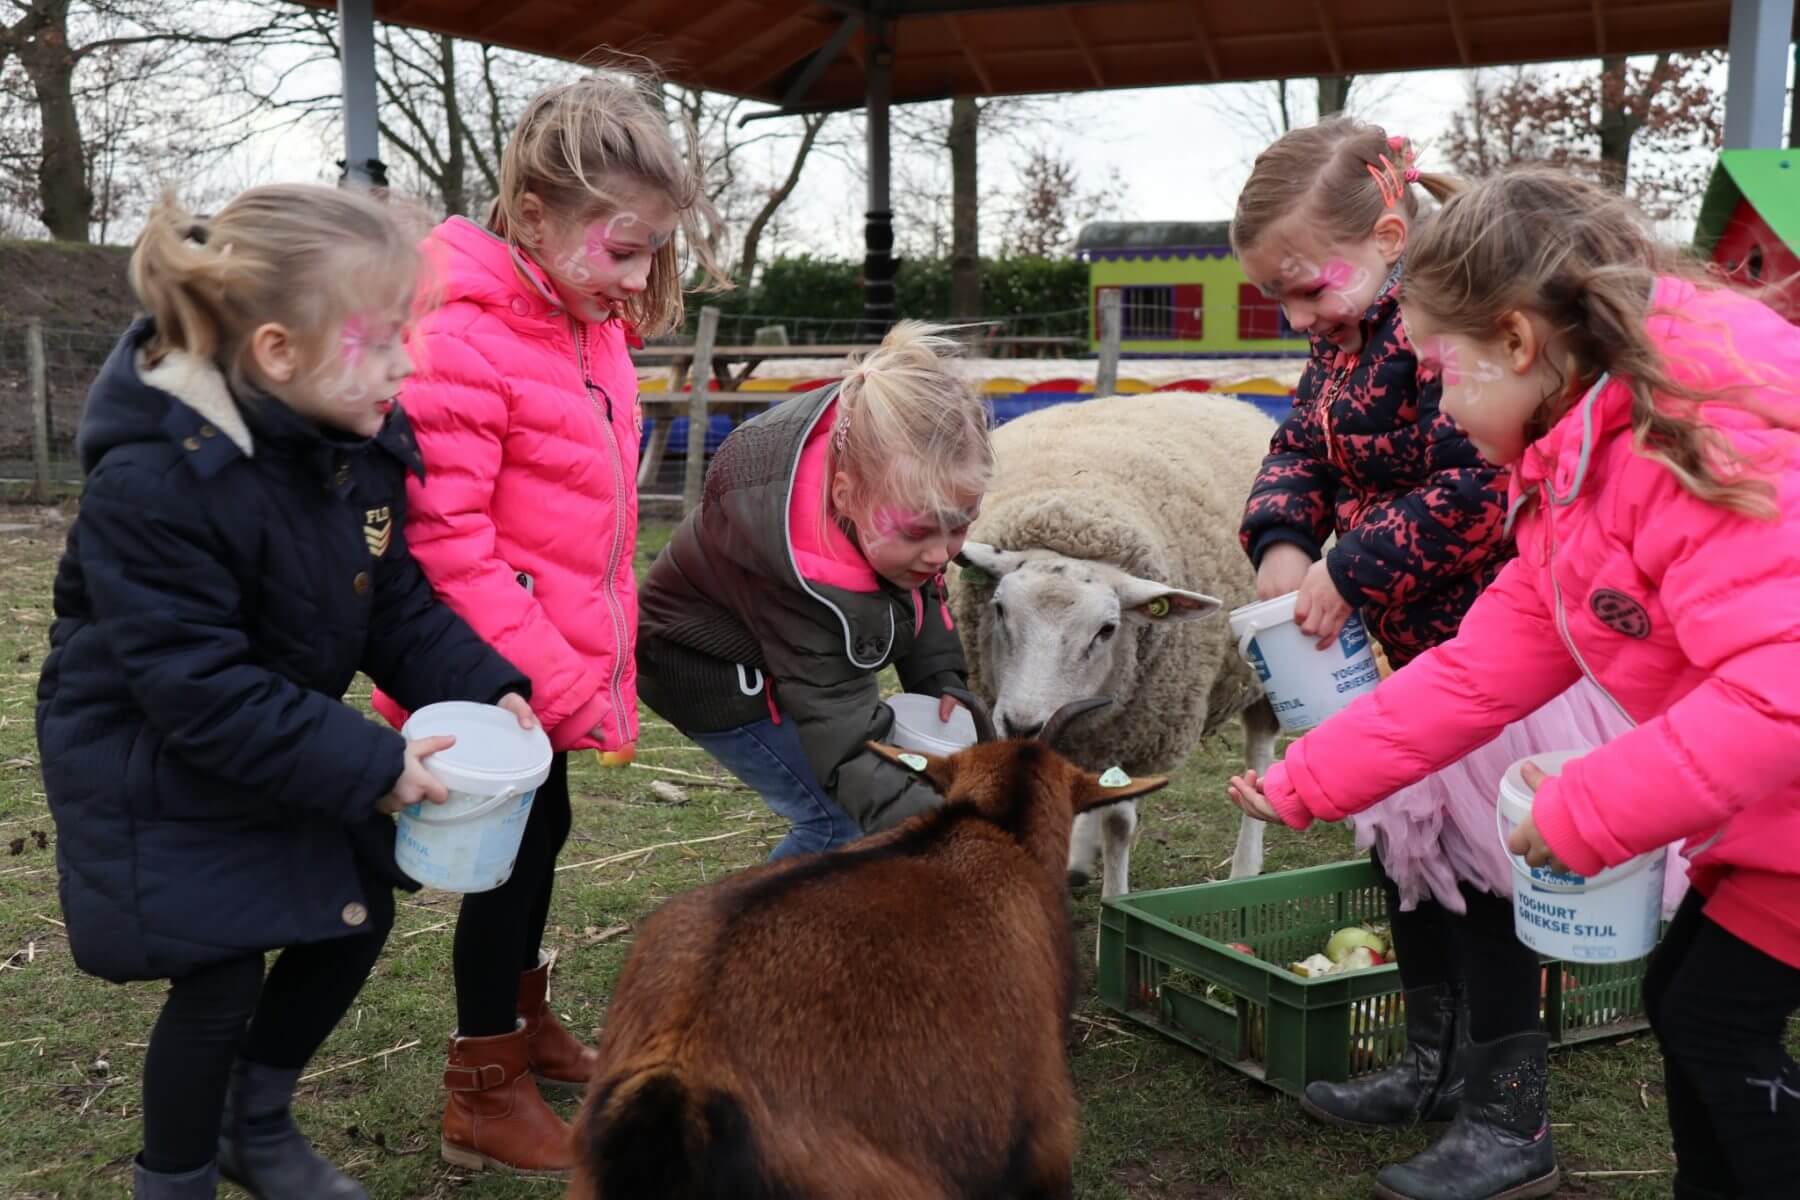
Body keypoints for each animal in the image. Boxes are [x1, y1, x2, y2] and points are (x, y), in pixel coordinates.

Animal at [950, 390, 1288, 895]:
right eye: (999, 608)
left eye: (1107, 629)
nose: (1023, 724)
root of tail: (1218, 397)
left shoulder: (1137, 738)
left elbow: (1119, 825)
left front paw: (1115, 898)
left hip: (1261, 672)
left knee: (1260, 753)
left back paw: (1245, 866)